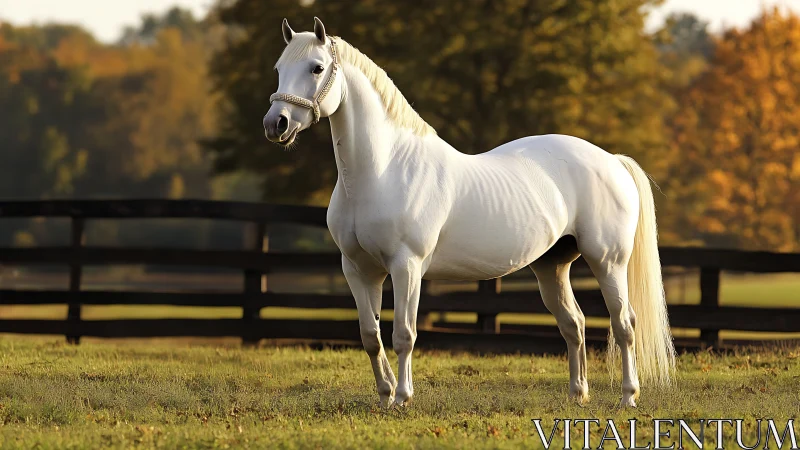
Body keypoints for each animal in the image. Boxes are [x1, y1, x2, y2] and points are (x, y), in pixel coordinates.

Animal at [263, 17, 675, 408]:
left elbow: (403, 335)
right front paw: (384, 395)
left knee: (624, 323)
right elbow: (370, 336)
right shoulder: (357, 270)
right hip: (552, 266)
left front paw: (402, 397)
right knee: (573, 324)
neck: (384, 168)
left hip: (608, 262)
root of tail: (613, 161)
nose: (275, 124)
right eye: (279, 68)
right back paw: (578, 394)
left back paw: (628, 395)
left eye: (317, 68)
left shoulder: (406, 267)